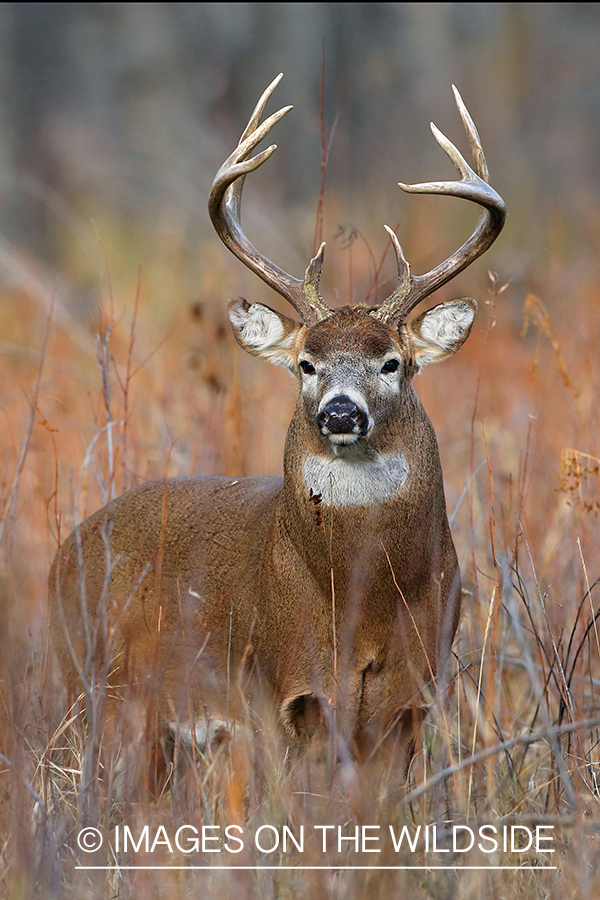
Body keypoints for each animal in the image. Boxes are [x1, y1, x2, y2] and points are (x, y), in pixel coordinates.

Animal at [49, 75, 504, 796]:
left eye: (392, 362)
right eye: (306, 363)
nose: (341, 413)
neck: (361, 603)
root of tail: (61, 557)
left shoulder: (411, 698)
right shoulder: (277, 691)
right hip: (95, 687)